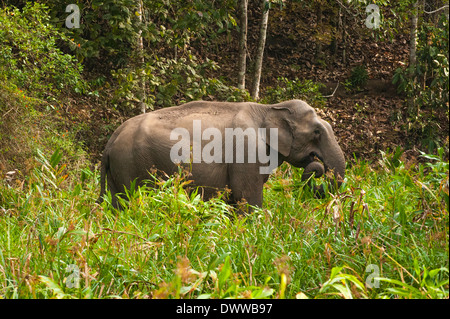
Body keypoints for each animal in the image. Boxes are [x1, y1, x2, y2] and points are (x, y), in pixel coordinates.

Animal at [97, 100, 344, 210]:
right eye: (316, 132)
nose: (318, 166)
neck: (269, 108)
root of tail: (110, 142)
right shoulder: (246, 152)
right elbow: (248, 200)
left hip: (117, 171)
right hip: (133, 166)